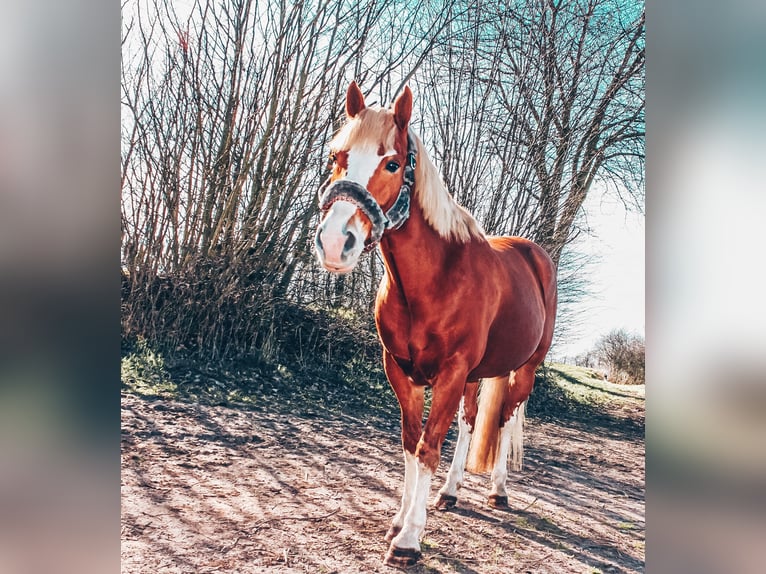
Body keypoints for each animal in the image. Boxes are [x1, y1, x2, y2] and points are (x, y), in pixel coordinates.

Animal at [312, 82, 560, 572]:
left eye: (392, 163)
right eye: (336, 155)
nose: (333, 243)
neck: (436, 278)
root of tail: (534, 255)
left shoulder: (449, 373)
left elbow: (429, 447)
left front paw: (408, 540)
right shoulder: (402, 371)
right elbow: (412, 444)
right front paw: (399, 521)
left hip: (523, 369)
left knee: (505, 420)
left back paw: (498, 492)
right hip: (479, 375)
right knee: (469, 424)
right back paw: (449, 493)